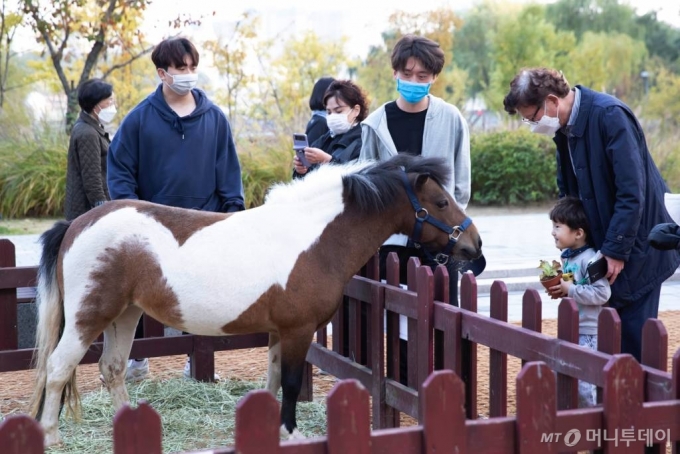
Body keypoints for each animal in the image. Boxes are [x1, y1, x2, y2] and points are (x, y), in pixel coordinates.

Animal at [27, 154, 484, 446]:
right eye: (441, 201)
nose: (475, 250)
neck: (312, 237)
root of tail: (76, 224)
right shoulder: (299, 331)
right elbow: (292, 382)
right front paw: (293, 433)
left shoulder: (279, 333)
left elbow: (274, 379)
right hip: (89, 318)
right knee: (59, 367)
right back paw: (50, 435)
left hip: (126, 314)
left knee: (113, 368)